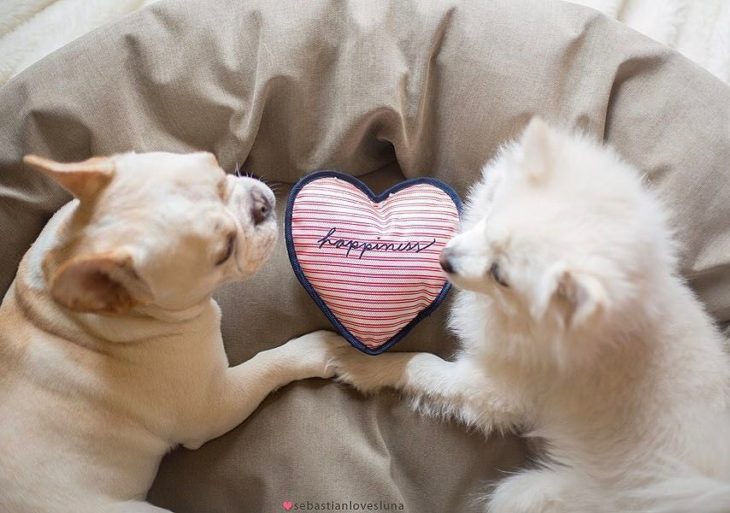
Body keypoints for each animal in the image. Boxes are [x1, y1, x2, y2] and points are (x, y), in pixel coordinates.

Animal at [330, 119, 728, 512]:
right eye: (488, 218)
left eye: (499, 275)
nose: (445, 260)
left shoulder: (500, 389)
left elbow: (421, 366)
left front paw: (356, 364)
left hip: (534, 492)